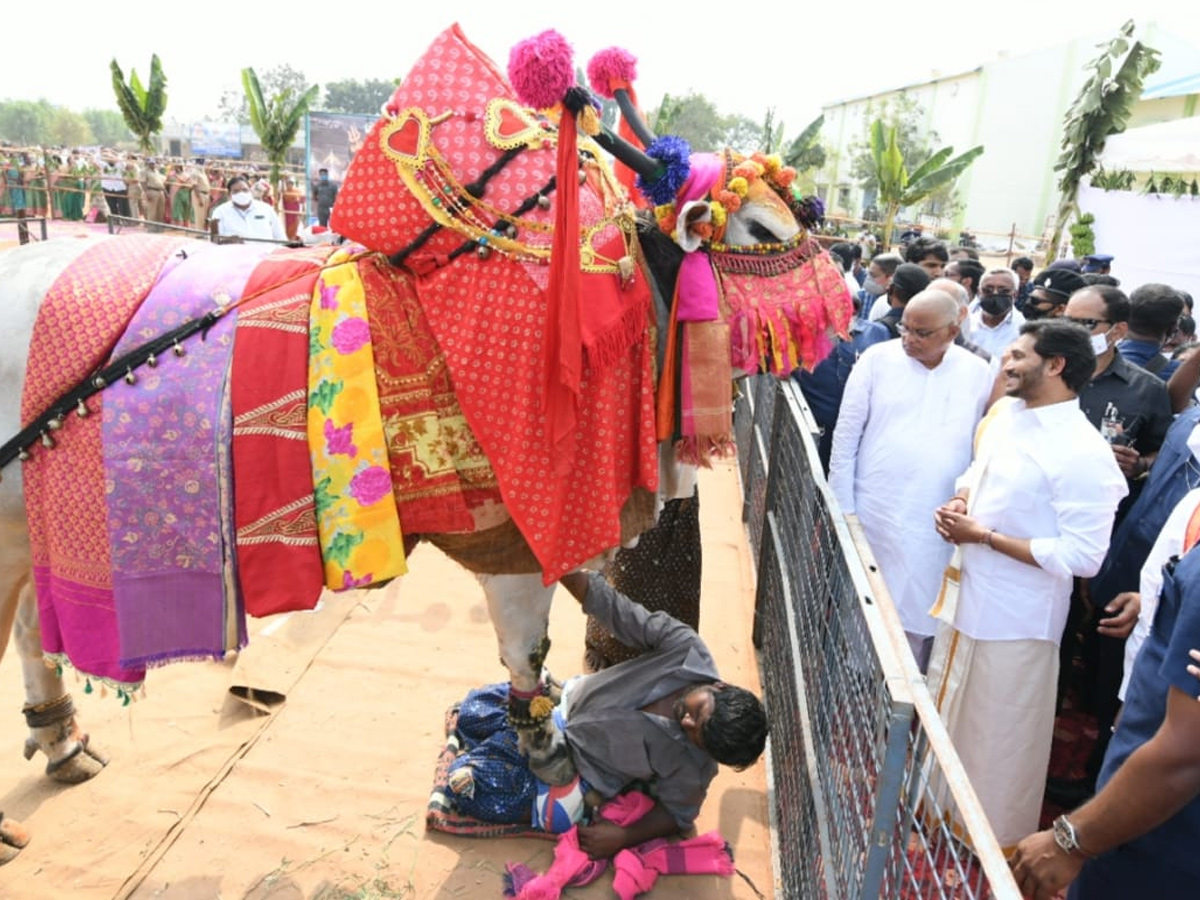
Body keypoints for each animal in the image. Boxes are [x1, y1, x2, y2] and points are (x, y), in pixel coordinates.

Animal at [0, 24, 849, 864]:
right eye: (762, 230)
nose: (840, 312)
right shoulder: (520, 543)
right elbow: (526, 656)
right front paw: (544, 753)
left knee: (32, 624)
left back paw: (63, 741)